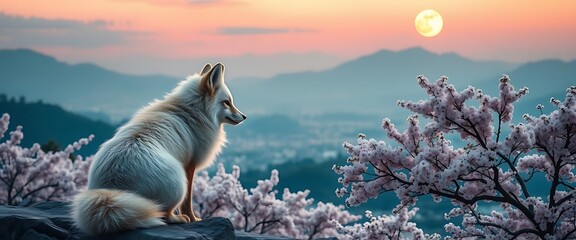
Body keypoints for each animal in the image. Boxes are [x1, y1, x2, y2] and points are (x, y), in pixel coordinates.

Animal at [71, 62, 245, 233]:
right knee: (163, 214)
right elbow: (187, 202)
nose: (244, 116)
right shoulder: (190, 165)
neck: (193, 112)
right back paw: (178, 218)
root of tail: (111, 191)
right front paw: (194, 219)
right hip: (179, 182)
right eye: (227, 102)